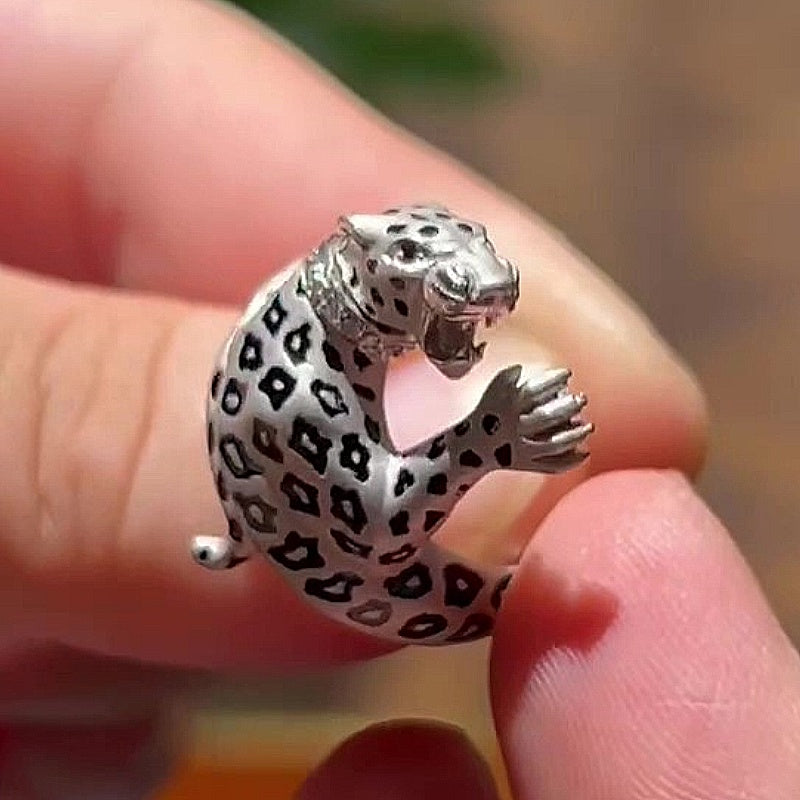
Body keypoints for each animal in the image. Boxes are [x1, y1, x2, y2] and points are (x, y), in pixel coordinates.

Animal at [191, 205, 592, 645]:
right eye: (407, 251)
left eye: (482, 234)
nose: (494, 286)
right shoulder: (346, 483)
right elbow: (398, 503)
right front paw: (521, 418)